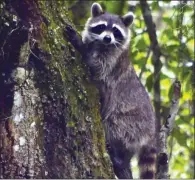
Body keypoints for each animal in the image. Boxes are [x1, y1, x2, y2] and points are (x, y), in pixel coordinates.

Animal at [65, 2, 157, 179]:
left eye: (115, 31)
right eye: (101, 27)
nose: (107, 38)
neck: (102, 45)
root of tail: (150, 134)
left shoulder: (112, 62)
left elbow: (97, 67)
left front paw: (80, 46)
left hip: (131, 121)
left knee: (114, 124)